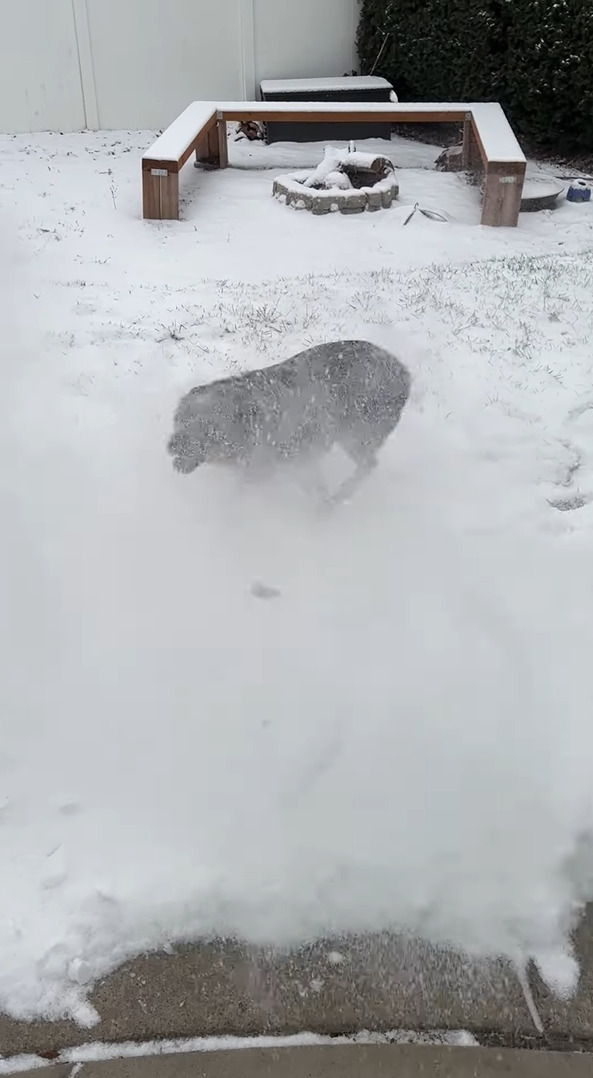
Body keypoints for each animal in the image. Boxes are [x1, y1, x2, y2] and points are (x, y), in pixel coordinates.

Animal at [166, 338, 409, 502]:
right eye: (180, 418)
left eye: (207, 427)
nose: (173, 445)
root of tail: (402, 371)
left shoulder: (291, 457)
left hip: (355, 434)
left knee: (367, 466)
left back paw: (339, 497)